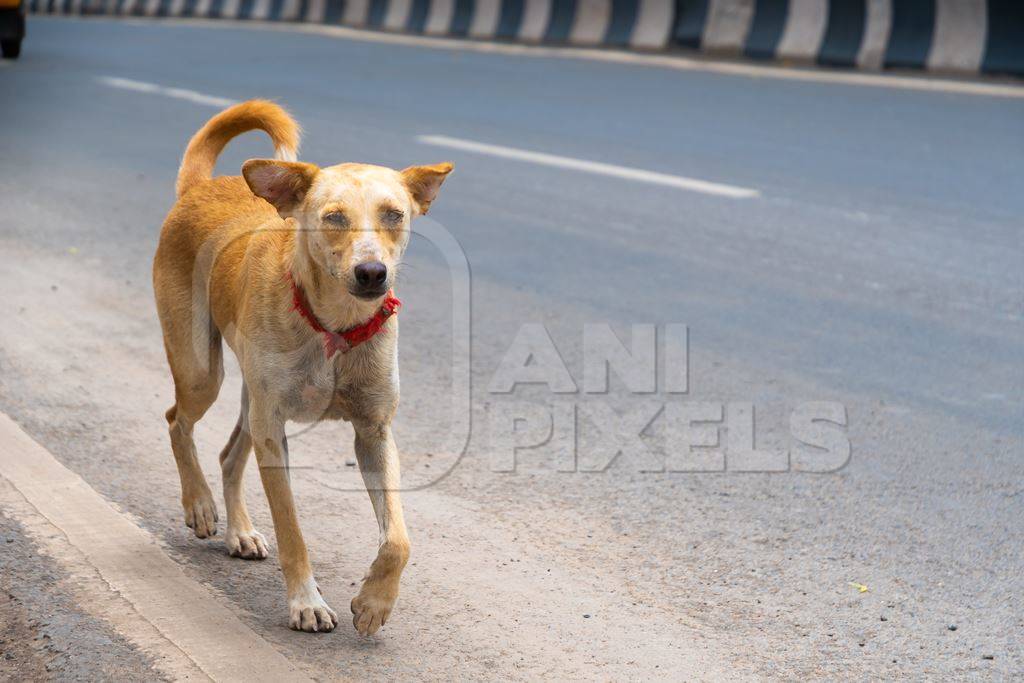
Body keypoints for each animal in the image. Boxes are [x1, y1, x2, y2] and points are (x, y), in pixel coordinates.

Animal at [151, 100, 452, 634]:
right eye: (333, 218)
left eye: (394, 214)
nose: (372, 273)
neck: (335, 330)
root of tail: (200, 187)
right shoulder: (274, 430)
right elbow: (292, 529)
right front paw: (306, 602)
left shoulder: (373, 433)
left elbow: (398, 538)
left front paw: (375, 602)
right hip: (203, 373)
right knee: (176, 421)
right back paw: (200, 504)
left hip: (250, 398)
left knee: (229, 454)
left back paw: (239, 530)